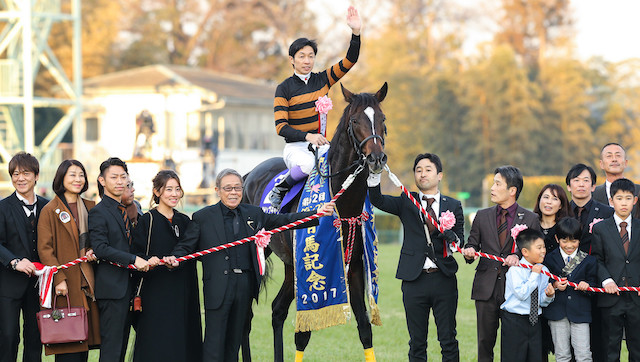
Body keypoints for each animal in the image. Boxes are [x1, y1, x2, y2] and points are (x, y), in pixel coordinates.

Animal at [242, 83, 388, 360]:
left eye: (382, 119)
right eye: (355, 120)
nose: (376, 158)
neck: (342, 203)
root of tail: (247, 176)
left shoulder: (354, 266)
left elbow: (364, 327)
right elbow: (303, 334)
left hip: (290, 265)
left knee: (277, 310)